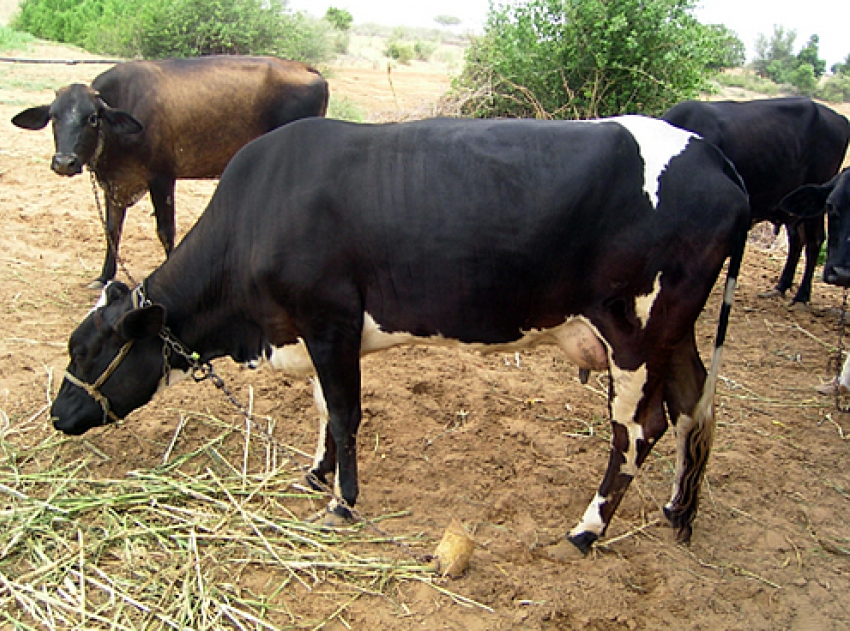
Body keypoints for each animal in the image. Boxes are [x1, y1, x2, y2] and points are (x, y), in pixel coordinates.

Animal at [12, 56, 328, 288]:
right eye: (53, 116)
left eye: (92, 118)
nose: (64, 162)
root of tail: (308, 69)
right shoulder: (116, 184)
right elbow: (112, 229)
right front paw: (103, 276)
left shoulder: (162, 177)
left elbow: (166, 230)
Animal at [48, 116, 748, 556]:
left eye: (86, 350)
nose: (58, 415)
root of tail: (711, 153)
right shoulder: (313, 332)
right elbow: (324, 408)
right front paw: (317, 474)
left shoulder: (330, 318)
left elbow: (346, 411)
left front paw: (343, 501)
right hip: (675, 334)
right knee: (693, 407)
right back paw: (678, 511)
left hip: (637, 332)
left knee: (638, 430)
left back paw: (587, 530)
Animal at [664, 97, 848, 304]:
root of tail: (838, 117)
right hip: (794, 208)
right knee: (797, 239)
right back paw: (781, 287)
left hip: (816, 204)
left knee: (814, 241)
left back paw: (802, 296)